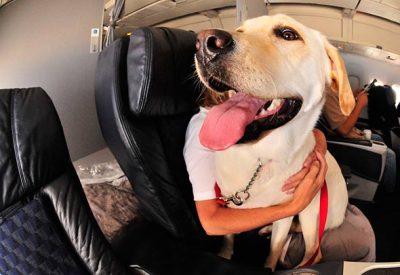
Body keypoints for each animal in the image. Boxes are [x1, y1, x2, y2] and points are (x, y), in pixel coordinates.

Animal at [195, 14, 354, 270]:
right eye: (240, 29)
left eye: (288, 34)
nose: (205, 43)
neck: (259, 157)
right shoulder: (227, 204)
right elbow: (228, 237)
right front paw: (225, 254)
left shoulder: (288, 211)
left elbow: (275, 249)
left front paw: (270, 266)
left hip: (311, 212)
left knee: (314, 251)